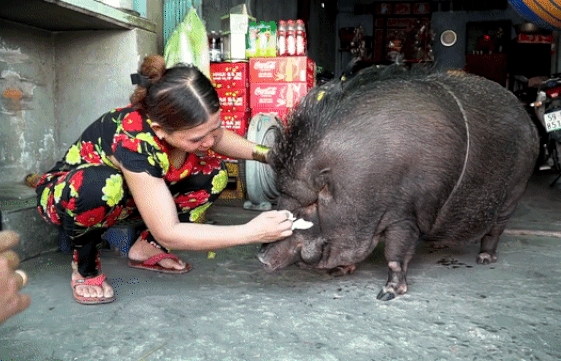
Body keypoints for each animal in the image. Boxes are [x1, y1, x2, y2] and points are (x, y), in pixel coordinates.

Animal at [258, 64, 540, 298]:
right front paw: (337, 272)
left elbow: (395, 254)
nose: (261, 257)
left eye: (311, 204)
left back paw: (484, 258)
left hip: (515, 189)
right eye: (280, 195)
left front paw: (386, 294)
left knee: (496, 228)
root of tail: (530, 122)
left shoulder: (404, 215)